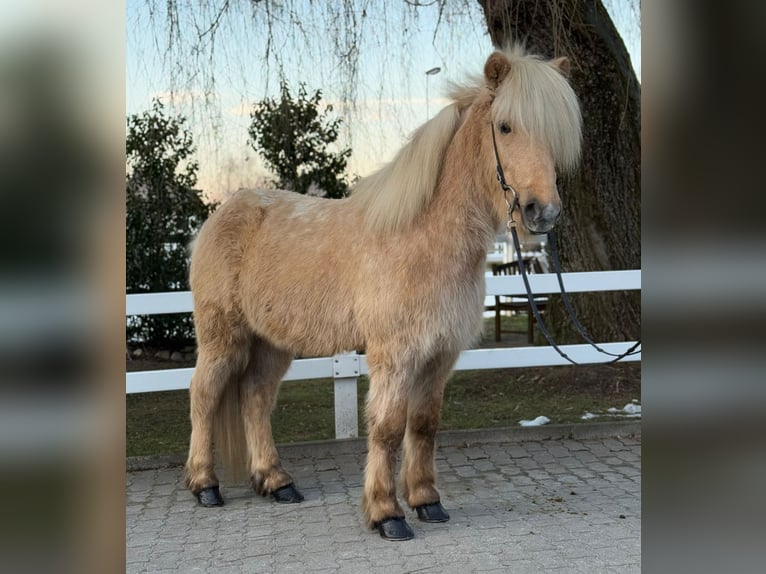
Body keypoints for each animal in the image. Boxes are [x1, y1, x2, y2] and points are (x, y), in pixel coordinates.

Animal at [186, 44, 584, 540]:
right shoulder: (395, 355)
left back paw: (277, 482)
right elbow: (389, 428)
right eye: (506, 126)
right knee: (204, 396)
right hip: (223, 338)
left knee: (255, 398)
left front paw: (427, 500)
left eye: (556, 135)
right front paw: (386, 512)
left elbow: (424, 425)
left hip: (271, 343)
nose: (541, 213)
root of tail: (223, 214)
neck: (423, 238)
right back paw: (205, 485)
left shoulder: (439, 355)